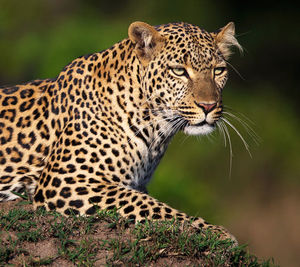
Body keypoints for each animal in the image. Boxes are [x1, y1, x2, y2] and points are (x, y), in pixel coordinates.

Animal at [0, 20, 243, 243]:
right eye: (179, 71)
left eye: (218, 71)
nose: (208, 106)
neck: (156, 131)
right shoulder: (65, 180)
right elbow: (150, 205)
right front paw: (215, 232)